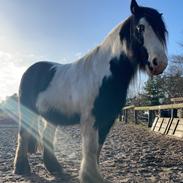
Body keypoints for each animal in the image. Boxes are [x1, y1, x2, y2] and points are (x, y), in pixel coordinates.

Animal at [13, 0, 169, 182]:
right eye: (140, 27)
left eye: (161, 30)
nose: (159, 63)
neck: (103, 73)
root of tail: (31, 69)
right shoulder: (91, 118)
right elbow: (91, 148)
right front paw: (90, 176)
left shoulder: (107, 119)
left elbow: (98, 149)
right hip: (26, 110)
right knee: (23, 135)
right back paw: (21, 169)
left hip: (51, 115)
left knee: (48, 136)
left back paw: (54, 168)